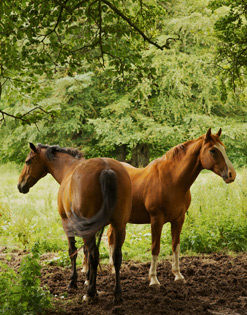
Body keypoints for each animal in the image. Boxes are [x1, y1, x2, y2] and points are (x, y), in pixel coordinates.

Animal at [17, 143, 132, 304]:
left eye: (28, 162)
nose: (20, 185)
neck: (68, 168)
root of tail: (107, 168)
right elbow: (86, 252)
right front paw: (87, 277)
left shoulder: (66, 223)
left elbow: (73, 251)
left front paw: (73, 282)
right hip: (119, 226)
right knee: (116, 257)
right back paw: (117, 294)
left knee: (94, 255)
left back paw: (91, 293)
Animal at [107, 128, 236, 286]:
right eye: (212, 150)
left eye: (224, 148)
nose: (231, 174)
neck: (171, 180)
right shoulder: (156, 220)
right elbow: (155, 247)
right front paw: (154, 279)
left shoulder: (178, 219)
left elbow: (176, 245)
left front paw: (178, 275)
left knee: (110, 237)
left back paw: (113, 269)